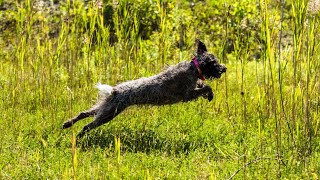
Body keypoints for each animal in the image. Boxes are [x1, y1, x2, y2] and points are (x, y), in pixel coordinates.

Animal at [63, 39, 228, 138]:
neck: (194, 67)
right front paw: (210, 94)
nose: (224, 68)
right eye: (214, 63)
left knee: (84, 113)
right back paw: (78, 137)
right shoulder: (187, 94)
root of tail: (114, 90)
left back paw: (68, 124)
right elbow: (206, 87)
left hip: (105, 108)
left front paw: (209, 94)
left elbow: (203, 85)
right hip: (108, 114)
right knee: (87, 125)